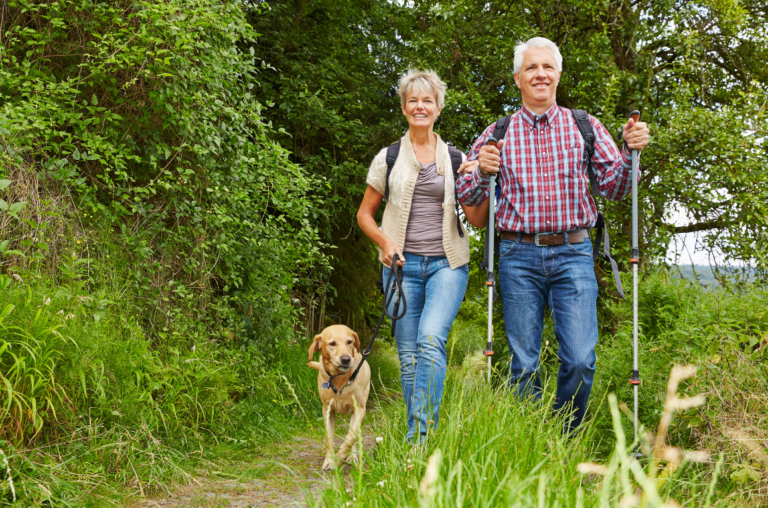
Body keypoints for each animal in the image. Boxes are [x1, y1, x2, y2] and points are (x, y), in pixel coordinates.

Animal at [308, 324, 370, 470]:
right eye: (332, 343)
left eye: (349, 342)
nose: (346, 359)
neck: (339, 378)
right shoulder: (327, 410)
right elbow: (329, 439)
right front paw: (329, 460)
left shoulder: (359, 410)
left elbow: (349, 439)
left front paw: (337, 459)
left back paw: (352, 456)